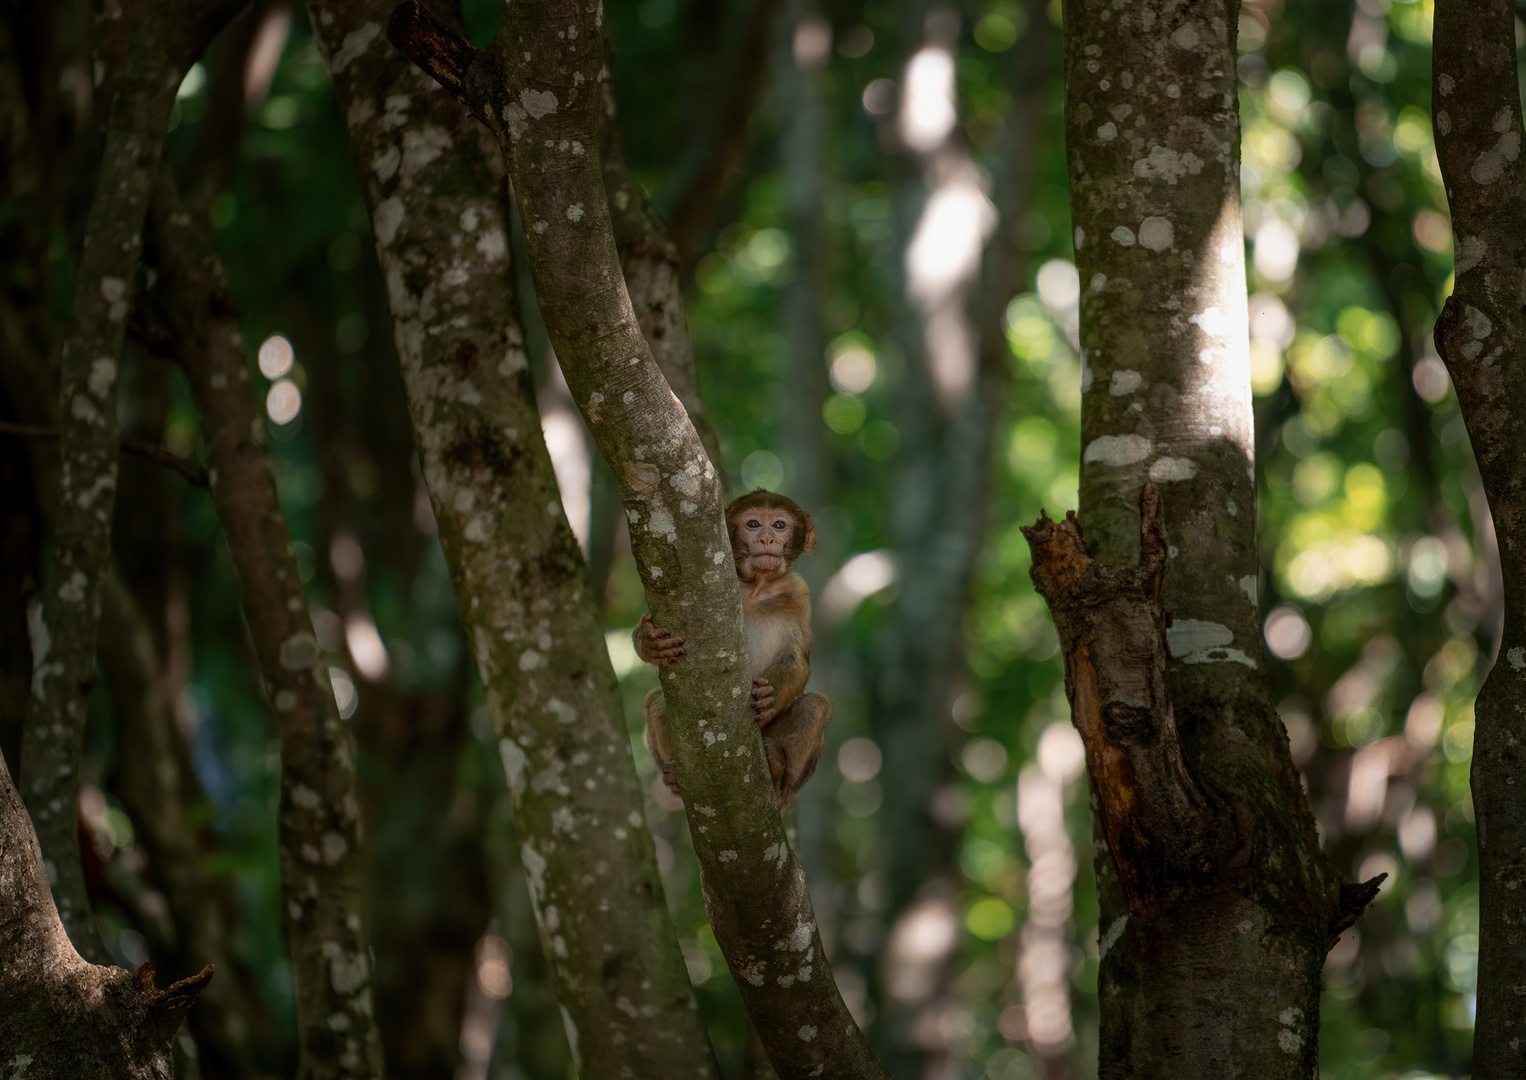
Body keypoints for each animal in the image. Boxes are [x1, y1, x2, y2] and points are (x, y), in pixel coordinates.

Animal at [640, 494, 842, 805]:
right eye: (753, 524)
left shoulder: (799, 591)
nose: (767, 539)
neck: (757, 587)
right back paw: (675, 781)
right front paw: (649, 642)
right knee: (657, 700)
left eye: (779, 525)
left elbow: (797, 661)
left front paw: (769, 698)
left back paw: (778, 776)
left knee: (815, 706)